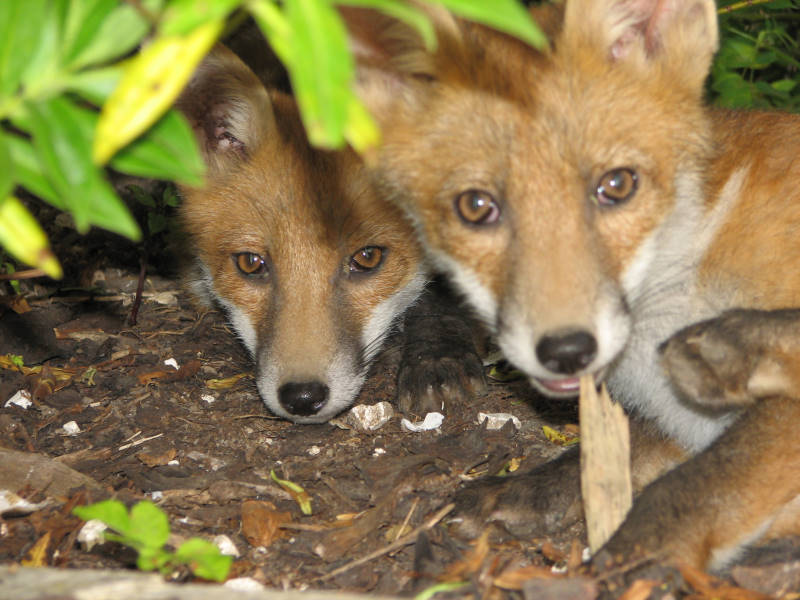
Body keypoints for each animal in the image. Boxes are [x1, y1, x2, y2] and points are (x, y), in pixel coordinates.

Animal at [340, 0, 800, 571]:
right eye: (476, 206)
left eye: (617, 185)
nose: (566, 350)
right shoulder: (672, 422)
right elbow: (604, 457)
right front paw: (529, 490)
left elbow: (695, 485)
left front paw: (626, 562)